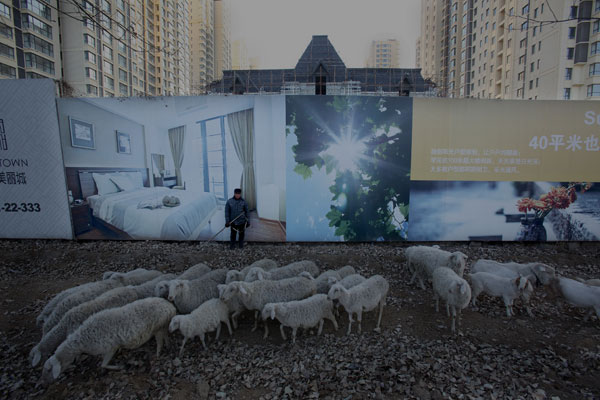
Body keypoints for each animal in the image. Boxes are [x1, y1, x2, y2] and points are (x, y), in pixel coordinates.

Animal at [40, 298, 173, 382]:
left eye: (49, 370)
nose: (45, 382)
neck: (81, 341)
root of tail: (169, 306)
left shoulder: (110, 347)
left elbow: (103, 364)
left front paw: (119, 367)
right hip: (163, 325)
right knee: (165, 335)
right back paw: (167, 346)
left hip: (157, 327)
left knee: (160, 340)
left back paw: (158, 353)